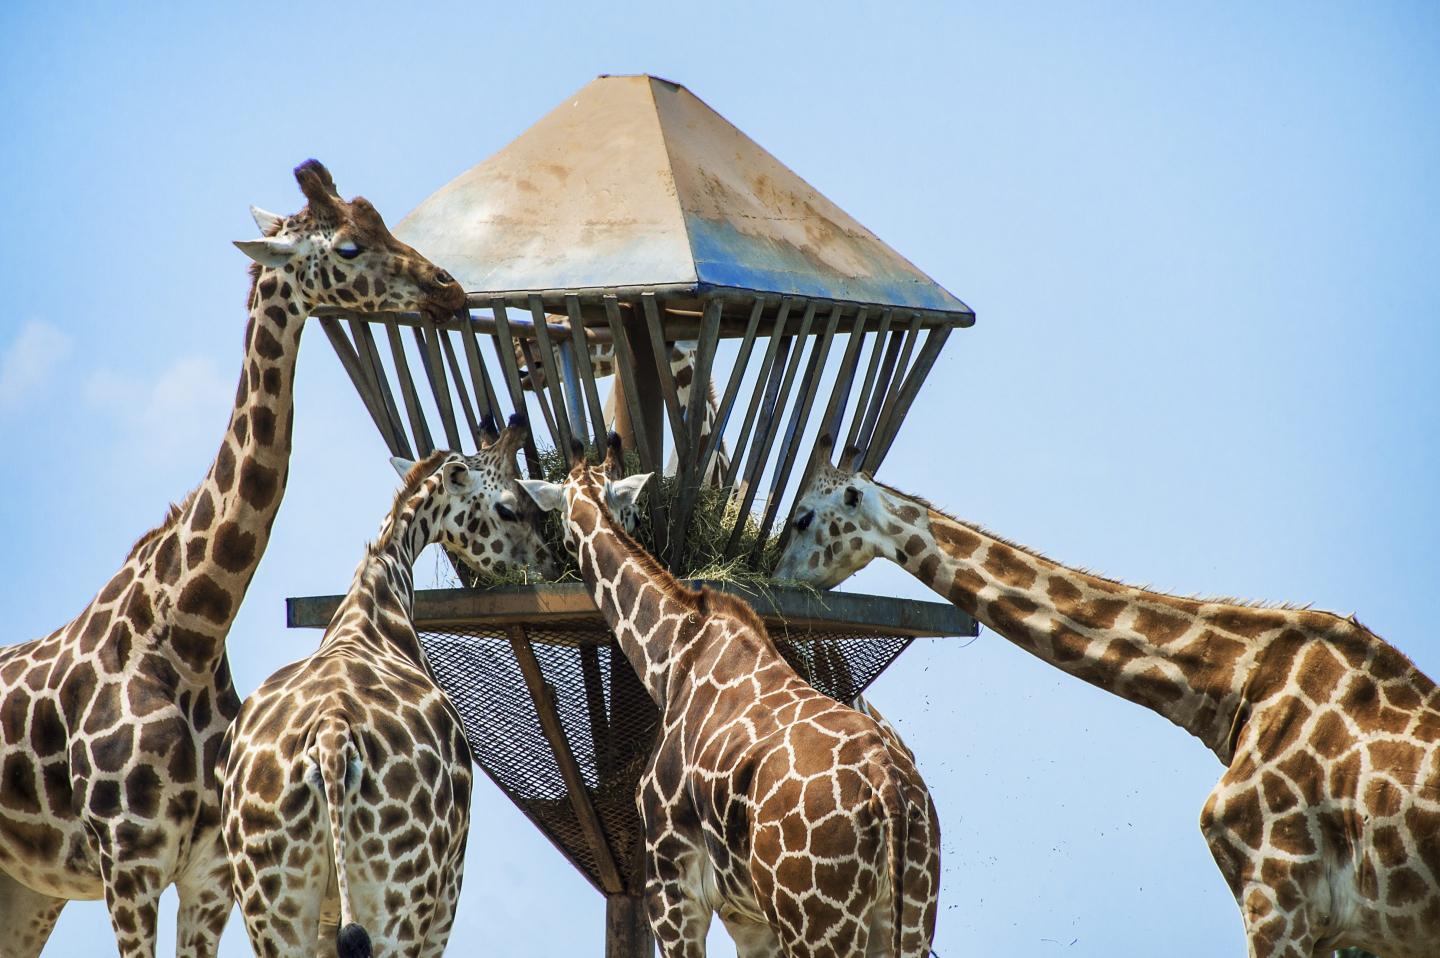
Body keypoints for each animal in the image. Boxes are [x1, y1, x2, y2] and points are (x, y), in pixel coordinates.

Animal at [0, 159, 465, 958]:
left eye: (379, 221)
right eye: (348, 246)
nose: (447, 287)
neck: (188, 630)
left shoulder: (209, 876)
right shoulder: (130, 865)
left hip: (29, 886)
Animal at [220, 419, 550, 958]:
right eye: (508, 506)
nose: (548, 562)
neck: (374, 607)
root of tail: (332, 739)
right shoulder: (447, 895)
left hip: (270, 905)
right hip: (404, 896)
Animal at [519, 439, 941, 958]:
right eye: (632, 509)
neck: (672, 657)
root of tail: (890, 793)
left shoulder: (672, 891)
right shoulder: (748, 917)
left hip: (816, 920)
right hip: (909, 914)